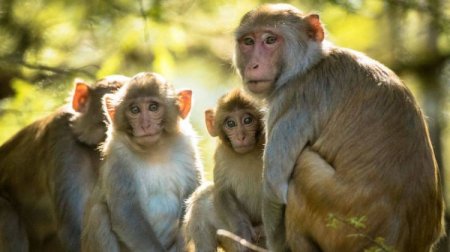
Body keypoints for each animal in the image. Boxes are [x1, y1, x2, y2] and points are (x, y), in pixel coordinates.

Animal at [81, 71, 203, 252]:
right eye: (134, 110)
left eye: (153, 107)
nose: (145, 125)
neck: (154, 151)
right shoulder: (118, 157)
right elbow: (126, 214)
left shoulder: (187, 149)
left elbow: (192, 200)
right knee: (99, 213)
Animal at [184, 88, 266, 250]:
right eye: (231, 123)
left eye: (247, 120)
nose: (241, 136)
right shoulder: (221, 154)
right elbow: (223, 191)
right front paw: (243, 233)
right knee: (202, 198)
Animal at [234, 2, 444, 252]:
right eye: (248, 41)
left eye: (270, 39)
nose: (253, 65)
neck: (310, 65)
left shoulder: (294, 98)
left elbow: (275, 189)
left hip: (341, 226)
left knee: (302, 167)